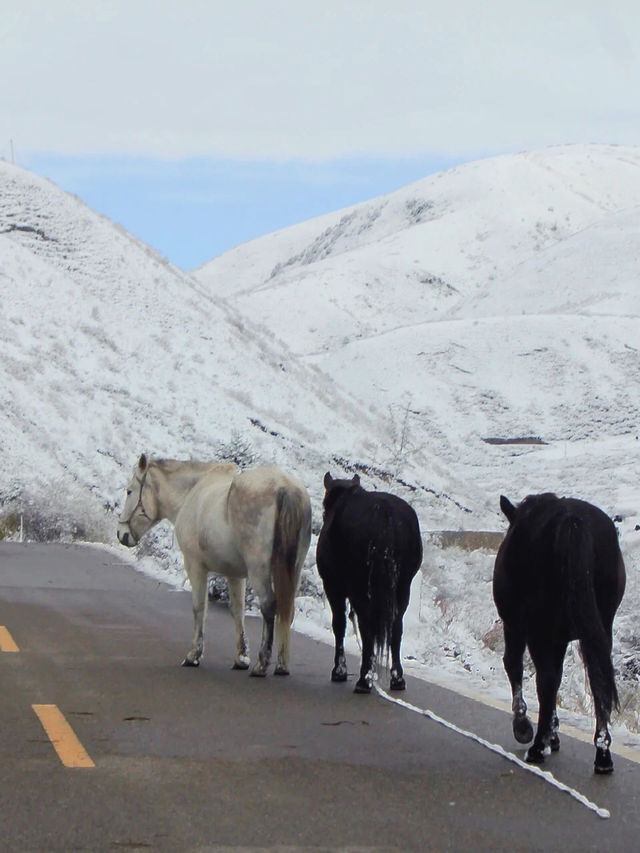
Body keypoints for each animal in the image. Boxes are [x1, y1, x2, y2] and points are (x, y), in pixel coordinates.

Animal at [119, 456, 312, 676]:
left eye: (129, 491)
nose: (121, 534)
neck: (191, 493)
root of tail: (284, 486)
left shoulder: (195, 566)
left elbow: (199, 608)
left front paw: (194, 655)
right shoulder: (235, 575)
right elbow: (237, 611)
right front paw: (241, 658)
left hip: (259, 571)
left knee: (269, 606)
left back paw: (262, 664)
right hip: (293, 571)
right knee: (288, 611)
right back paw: (281, 664)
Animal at [316, 472, 424, 692]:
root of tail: (384, 513)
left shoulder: (333, 587)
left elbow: (339, 625)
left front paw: (339, 671)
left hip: (360, 588)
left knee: (366, 626)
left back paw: (364, 679)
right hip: (402, 588)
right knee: (395, 627)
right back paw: (396, 678)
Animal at [496, 492, 624, 772]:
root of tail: (572, 522)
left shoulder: (516, 626)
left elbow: (514, 665)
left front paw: (524, 727)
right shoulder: (561, 638)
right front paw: (551, 733)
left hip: (538, 630)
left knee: (545, 679)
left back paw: (536, 748)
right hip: (598, 628)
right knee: (598, 680)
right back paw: (603, 754)